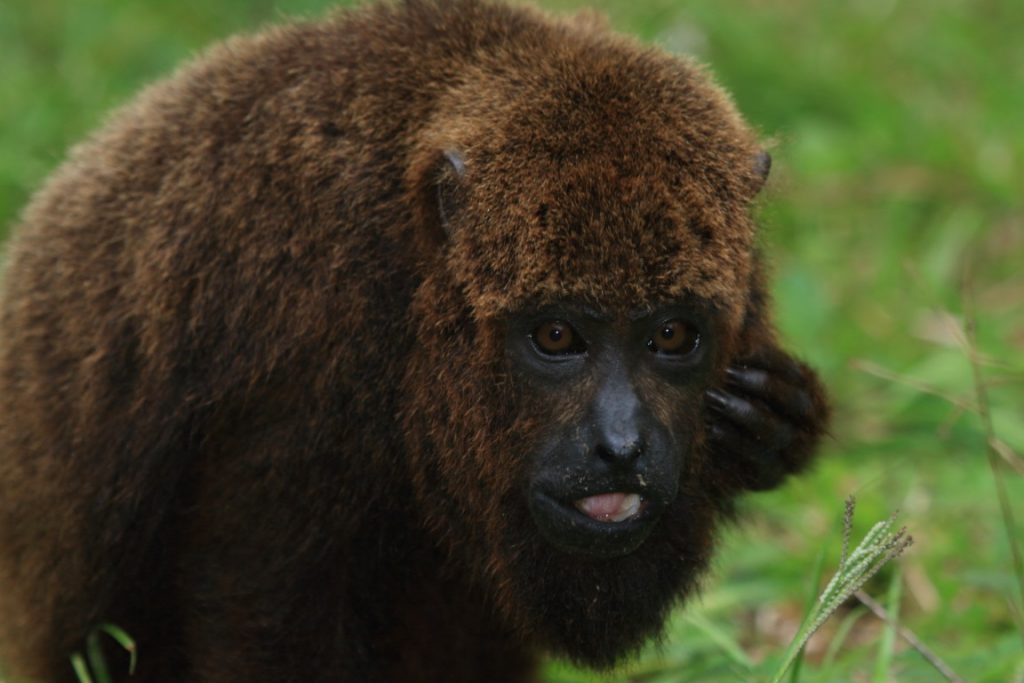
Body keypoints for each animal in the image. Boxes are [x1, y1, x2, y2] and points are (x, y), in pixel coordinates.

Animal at [0, 0, 829, 681]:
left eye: (673, 334)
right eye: (556, 334)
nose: (620, 444)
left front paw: (776, 422)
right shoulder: (309, 349)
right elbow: (260, 598)